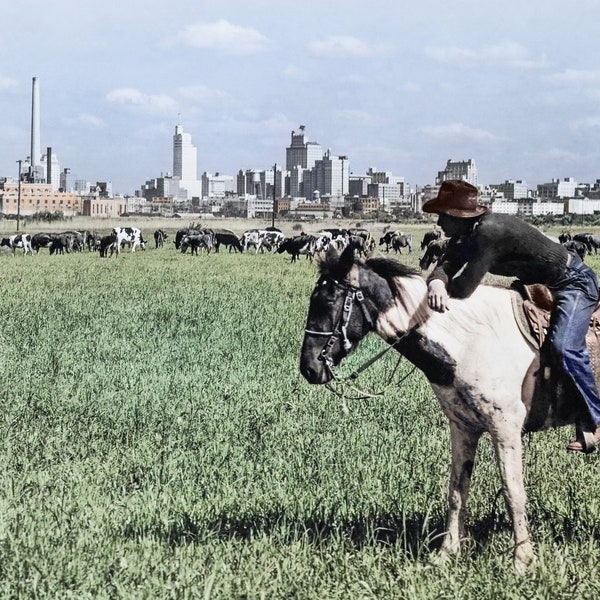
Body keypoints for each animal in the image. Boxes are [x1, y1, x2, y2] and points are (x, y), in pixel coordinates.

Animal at [298, 246, 592, 576]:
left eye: (328, 301)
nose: (308, 367)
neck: (469, 341)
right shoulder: (463, 427)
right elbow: (456, 490)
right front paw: (447, 552)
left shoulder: (505, 428)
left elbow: (513, 492)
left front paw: (522, 560)